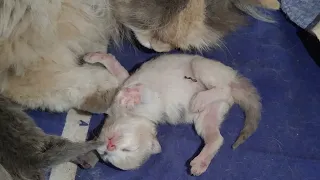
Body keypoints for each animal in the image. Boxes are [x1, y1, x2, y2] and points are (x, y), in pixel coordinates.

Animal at [96, 53, 262, 176]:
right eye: (106, 155)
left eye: (127, 150)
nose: (110, 146)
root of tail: (234, 78)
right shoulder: (126, 81)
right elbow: (120, 73)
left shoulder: (150, 96)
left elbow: (134, 87)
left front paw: (95, 56)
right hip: (208, 115)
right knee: (217, 137)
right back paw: (201, 162)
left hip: (202, 66)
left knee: (224, 88)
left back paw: (199, 99)